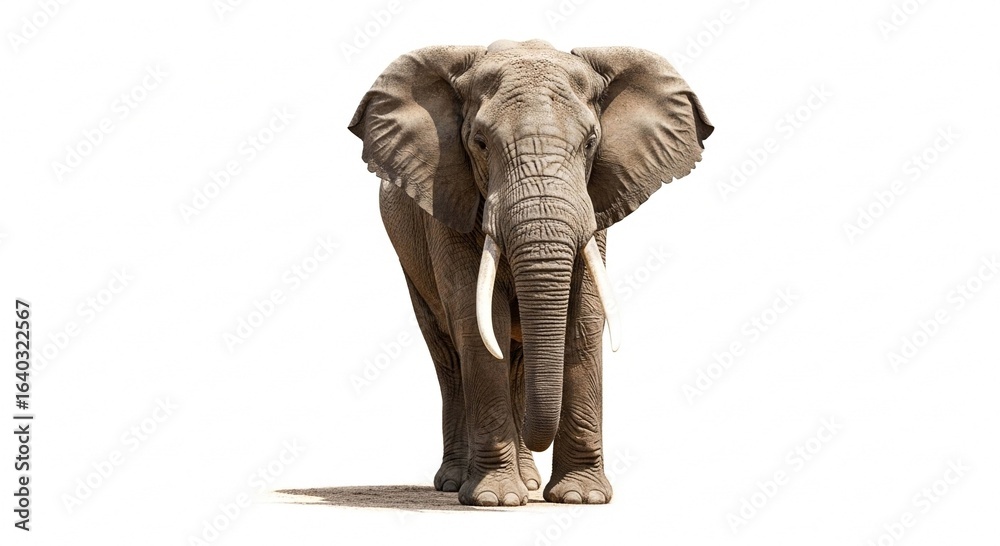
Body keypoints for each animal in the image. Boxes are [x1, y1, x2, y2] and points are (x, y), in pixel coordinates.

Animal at [349, 39, 712, 507]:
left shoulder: (594, 203)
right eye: (480, 143)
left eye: (591, 142)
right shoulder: (447, 199)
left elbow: (585, 317)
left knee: (518, 362)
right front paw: (494, 500)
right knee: (449, 356)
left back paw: (531, 483)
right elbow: (479, 321)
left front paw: (580, 497)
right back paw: (457, 483)